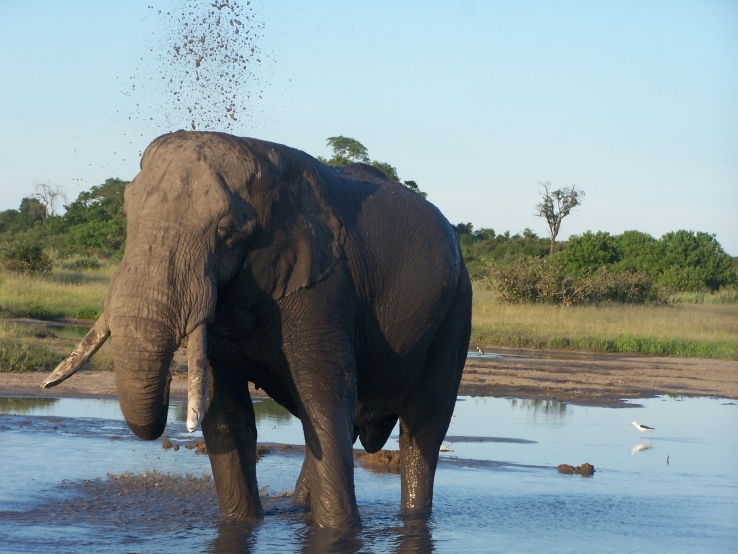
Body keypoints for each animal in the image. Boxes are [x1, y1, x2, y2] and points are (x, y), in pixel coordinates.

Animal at [42, 131, 472, 530]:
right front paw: (240, 523)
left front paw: (340, 531)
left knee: (422, 431)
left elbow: (323, 400)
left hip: (455, 312)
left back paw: (413, 515)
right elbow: (226, 412)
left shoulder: (323, 287)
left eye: (227, 231)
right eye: (126, 212)